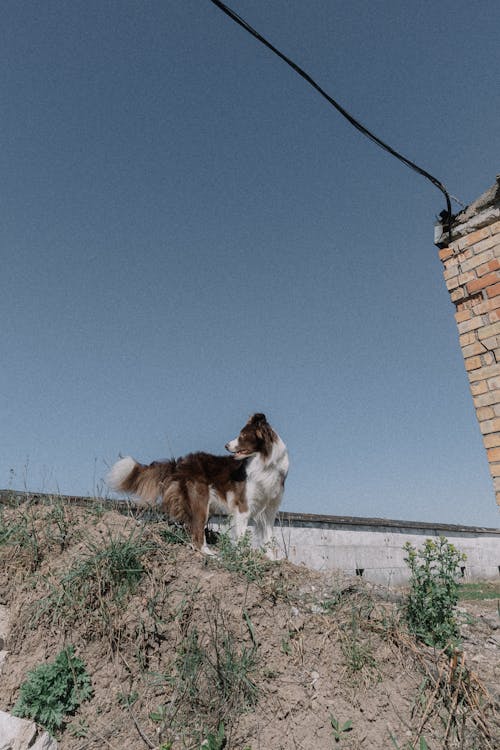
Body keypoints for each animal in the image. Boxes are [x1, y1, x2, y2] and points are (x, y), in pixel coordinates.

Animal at [108, 414, 290, 556]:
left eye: (243, 435)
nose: (226, 445)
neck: (266, 464)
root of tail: (179, 463)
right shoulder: (243, 506)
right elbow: (241, 535)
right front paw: (242, 556)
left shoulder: (269, 510)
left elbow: (269, 538)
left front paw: (272, 559)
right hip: (200, 499)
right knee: (197, 535)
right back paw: (210, 554)